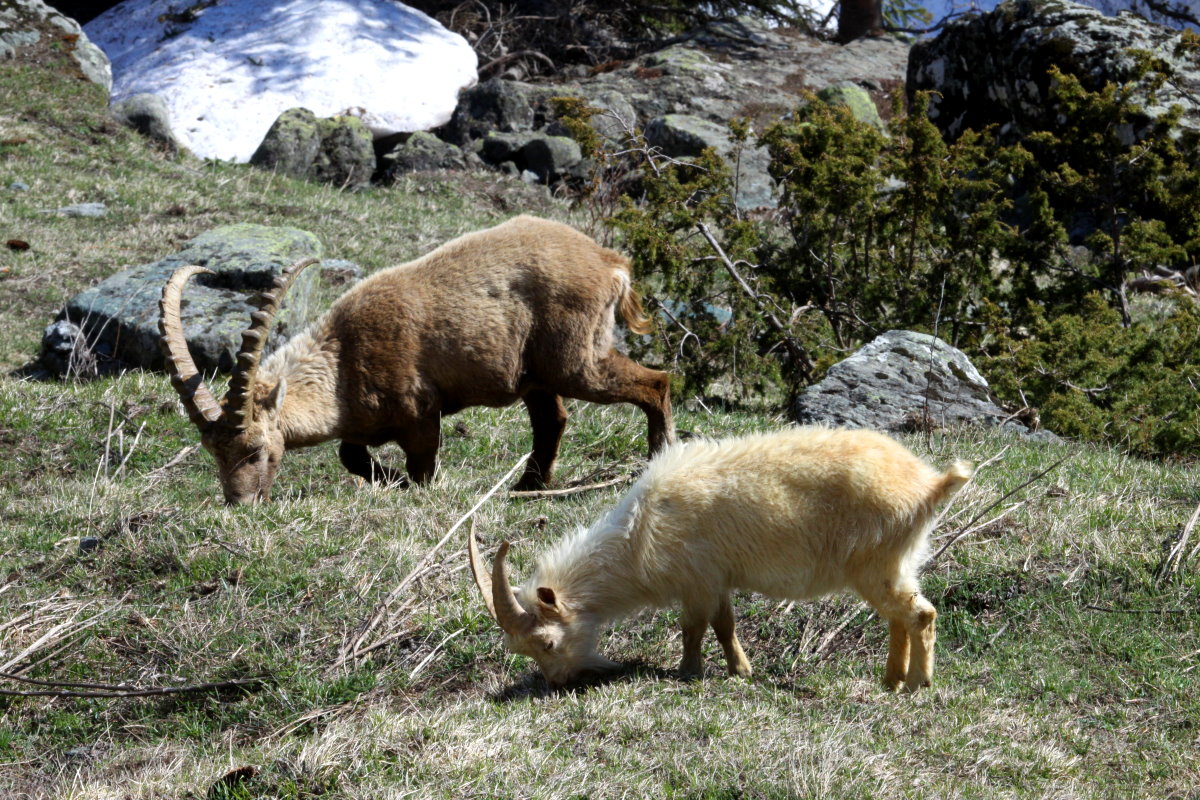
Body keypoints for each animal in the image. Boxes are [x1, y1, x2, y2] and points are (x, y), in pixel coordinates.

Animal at [470, 429, 974, 690]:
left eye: (547, 644)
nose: (557, 683)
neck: (637, 534)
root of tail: (929, 485)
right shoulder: (716, 581)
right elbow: (724, 624)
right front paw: (739, 671)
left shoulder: (696, 581)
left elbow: (693, 628)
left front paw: (688, 672)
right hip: (897, 564)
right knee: (900, 617)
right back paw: (891, 679)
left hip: (877, 565)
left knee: (920, 614)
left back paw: (917, 684)